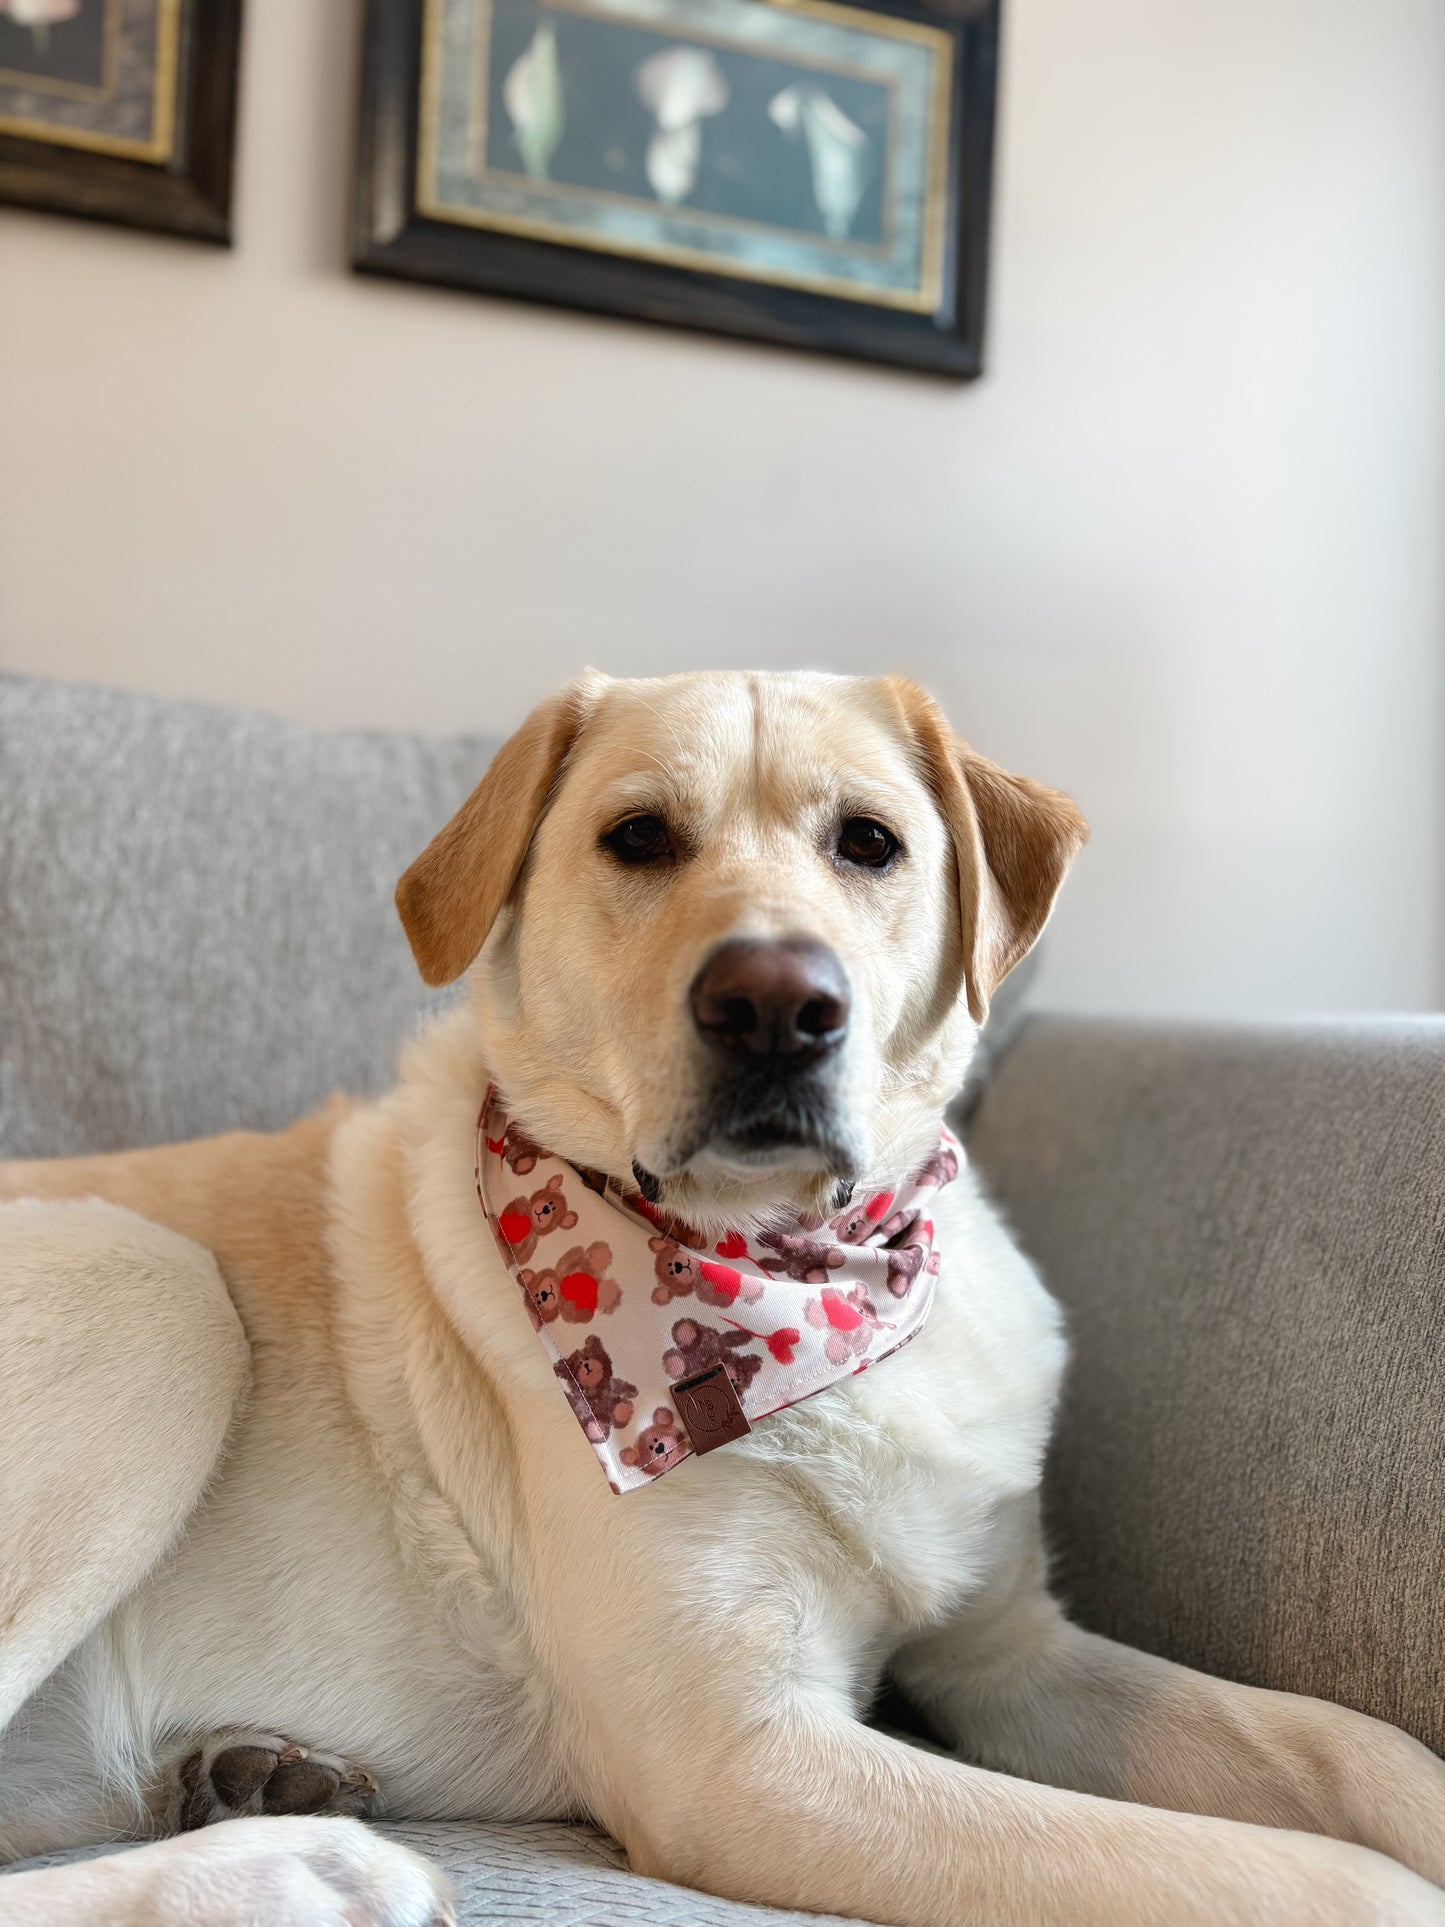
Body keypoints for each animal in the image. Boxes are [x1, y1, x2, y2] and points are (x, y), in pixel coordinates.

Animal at [2, 666, 1445, 1927]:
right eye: (637, 835)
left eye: (868, 841)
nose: (773, 1004)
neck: (798, 1272)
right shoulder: (740, 1759)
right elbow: (1311, 1878)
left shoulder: (1011, 1653)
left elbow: (1358, 1749)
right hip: (155, 1288)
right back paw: (299, 1866)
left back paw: (247, 1774)